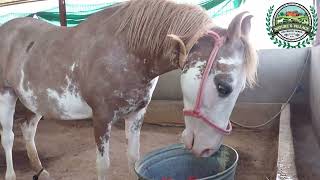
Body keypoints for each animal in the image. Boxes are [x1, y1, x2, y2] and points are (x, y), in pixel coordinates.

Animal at [0, 0, 256, 179]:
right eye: (223, 87)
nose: (207, 149)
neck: (126, 50)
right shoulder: (101, 118)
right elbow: (103, 166)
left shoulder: (136, 115)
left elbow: (135, 160)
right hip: (7, 95)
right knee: (9, 137)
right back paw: (11, 175)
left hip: (36, 101)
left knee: (27, 129)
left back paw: (40, 170)